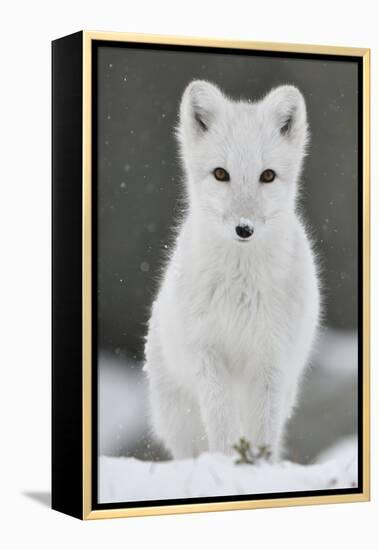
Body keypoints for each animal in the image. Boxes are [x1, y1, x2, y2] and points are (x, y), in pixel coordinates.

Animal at [144, 81, 322, 462]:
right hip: (180, 418)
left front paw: (258, 469)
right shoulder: (209, 356)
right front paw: (228, 465)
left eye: (267, 176)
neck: (242, 287)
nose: (244, 229)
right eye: (220, 174)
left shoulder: (271, 359)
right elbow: (223, 427)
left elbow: (264, 433)